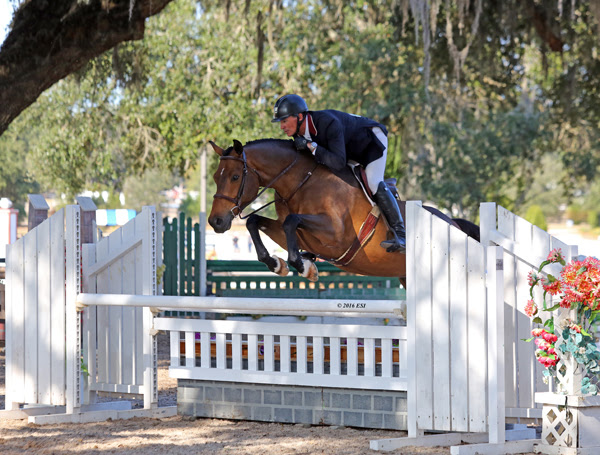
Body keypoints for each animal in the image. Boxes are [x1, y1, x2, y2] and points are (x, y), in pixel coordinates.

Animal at [209, 139, 480, 284]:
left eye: (235, 177)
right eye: (214, 177)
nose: (216, 222)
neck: (302, 182)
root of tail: (453, 223)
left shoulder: (337, 236)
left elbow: (291, 222)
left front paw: (305, 268)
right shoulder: (300, 233)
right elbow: (255, 221)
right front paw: (277, 264)